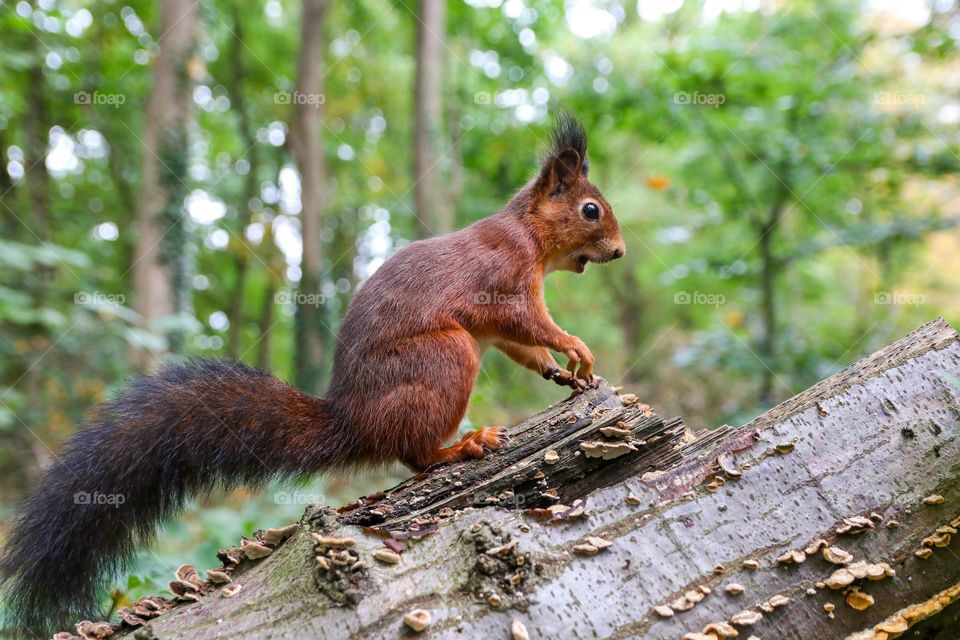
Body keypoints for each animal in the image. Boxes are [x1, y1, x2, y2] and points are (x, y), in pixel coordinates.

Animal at [0, 113, 625, 637]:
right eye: (590, 210)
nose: (619, 252)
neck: (530, 235)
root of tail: (353, 422)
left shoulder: (499, 325)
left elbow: (522, 347)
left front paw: (561, 373)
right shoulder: (505, 280)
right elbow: (531, 322)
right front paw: (576, 347)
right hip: (446, 355)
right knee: (414, 453)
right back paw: (461, 445)